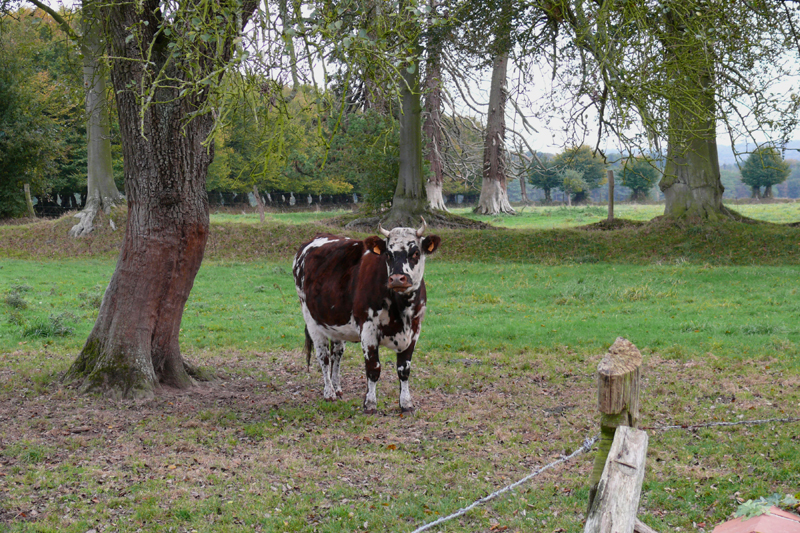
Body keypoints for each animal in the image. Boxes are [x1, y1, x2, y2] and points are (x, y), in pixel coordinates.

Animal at [294, 218, 440, 414]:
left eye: (415, 252)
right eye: (388, 254)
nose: (397, 278)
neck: (402, 308)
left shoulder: (415, 329)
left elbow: (404, 369)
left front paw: (406, 403)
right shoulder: (368, 329)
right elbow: (373, 368)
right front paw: (370, 403)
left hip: (336, 324)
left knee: (336, 354)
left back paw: (337, 388)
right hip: (311, 319)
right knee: (323, 356)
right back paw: (329, 393)